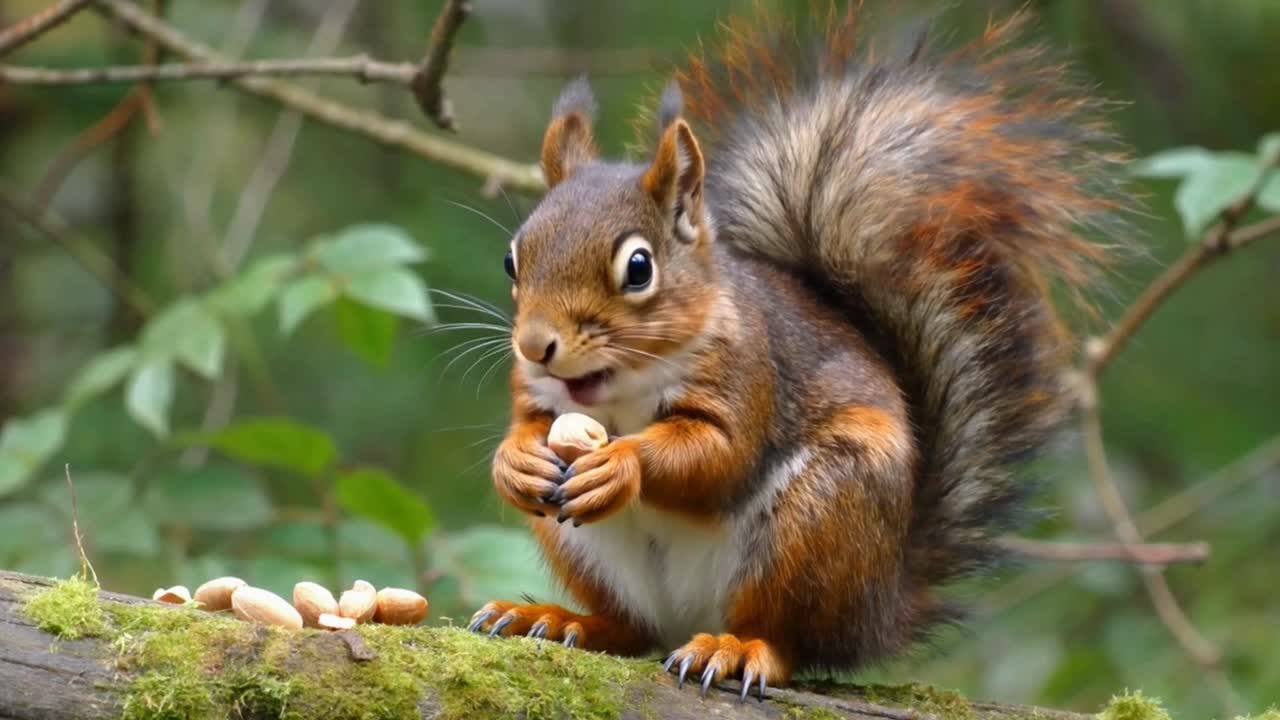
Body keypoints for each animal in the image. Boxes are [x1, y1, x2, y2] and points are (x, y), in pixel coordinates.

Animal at [467, 5, 1129, 701]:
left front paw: (621, 463)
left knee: (787, 640)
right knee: (632, 629)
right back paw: (560, 619)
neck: (620, 387)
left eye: (639, 268)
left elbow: (721, 456)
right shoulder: (536, 395)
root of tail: (879, 607)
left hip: (821, 518)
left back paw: (734, 649)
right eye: (513, 260)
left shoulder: (751, 372)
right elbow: (526, 426)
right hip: (585, 548)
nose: (535, 346)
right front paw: (515, 462)